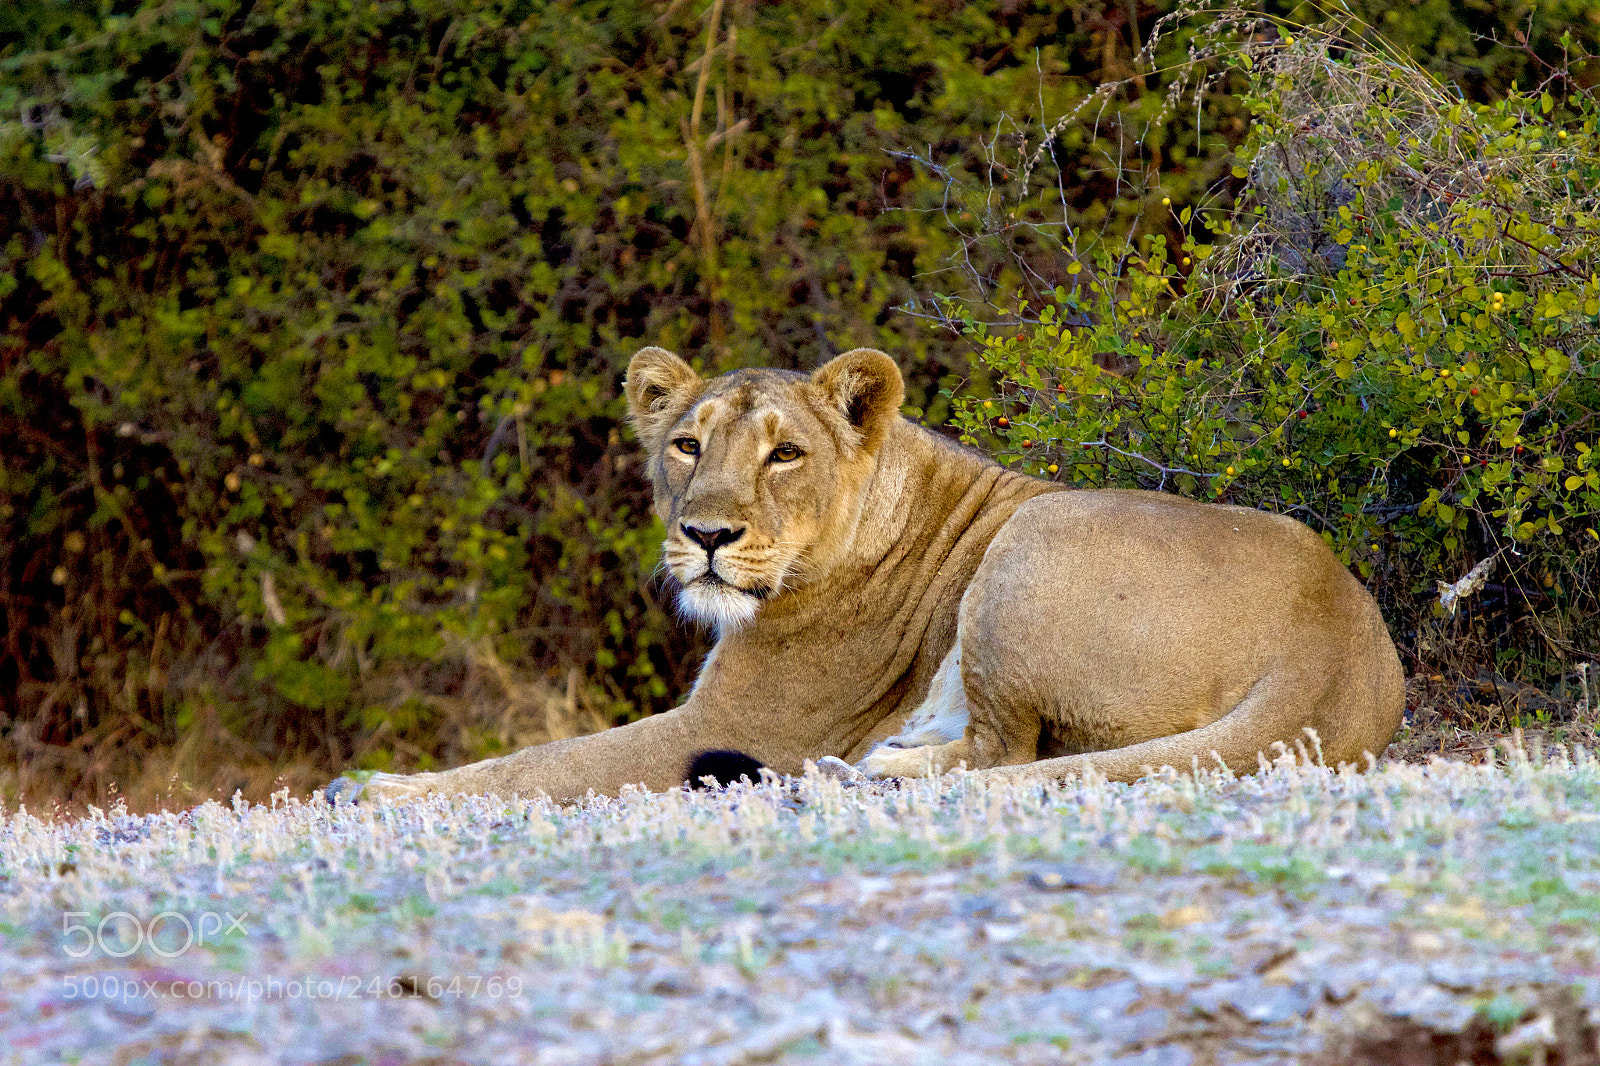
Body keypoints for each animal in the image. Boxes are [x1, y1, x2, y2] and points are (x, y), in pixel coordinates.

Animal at [324, 346, 1403, 805]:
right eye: (685, 444)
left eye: (784, 454)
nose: (705, 533)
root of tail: (1334, 637)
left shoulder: (747, 725)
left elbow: (540, 764)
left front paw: (374, 789)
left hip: (1035, 538)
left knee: (1003, 753)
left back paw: (877, 768)